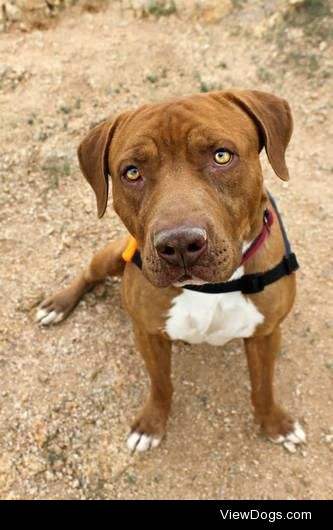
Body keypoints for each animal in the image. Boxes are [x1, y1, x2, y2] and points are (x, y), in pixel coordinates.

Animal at [36, 89, 304, 450]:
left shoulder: (266, 333)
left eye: (222, 156)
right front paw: (151, 425)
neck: (212, 288)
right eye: (131, 172)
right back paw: (58, 304)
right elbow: (161, 384)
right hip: (112, 255)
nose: (179, 245)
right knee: (88, 274)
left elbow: (263, 385)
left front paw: (275, 422)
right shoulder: (148, 332)